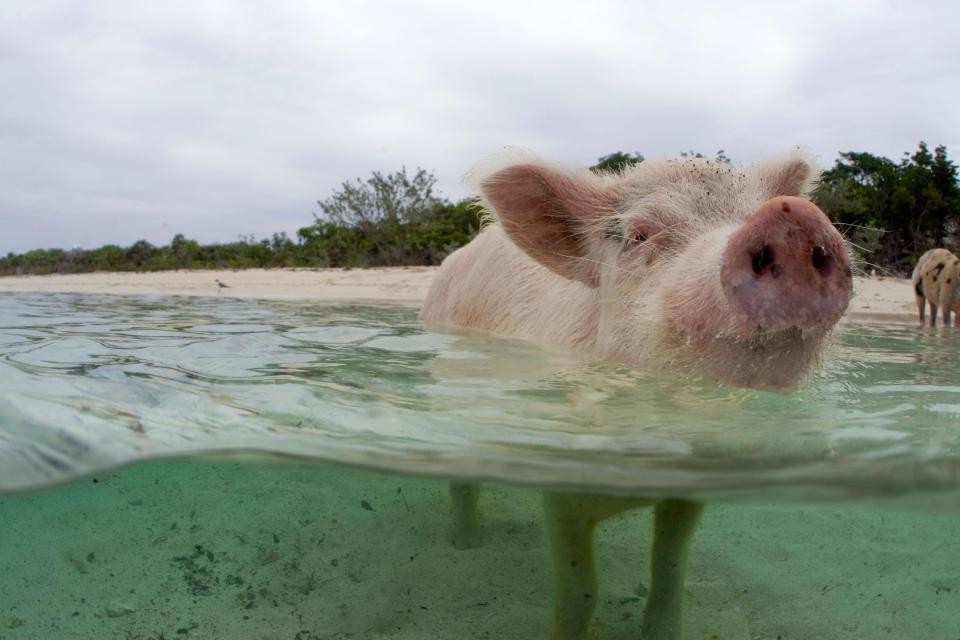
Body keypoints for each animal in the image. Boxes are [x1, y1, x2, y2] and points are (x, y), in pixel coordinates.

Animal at [420, 150, 856, 640]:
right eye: (639, 236)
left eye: (750, 209)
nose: (791, 215)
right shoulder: (561, 486)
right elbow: (581, 588)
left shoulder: (690, 494)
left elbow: (670, 566)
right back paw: (466, 546)